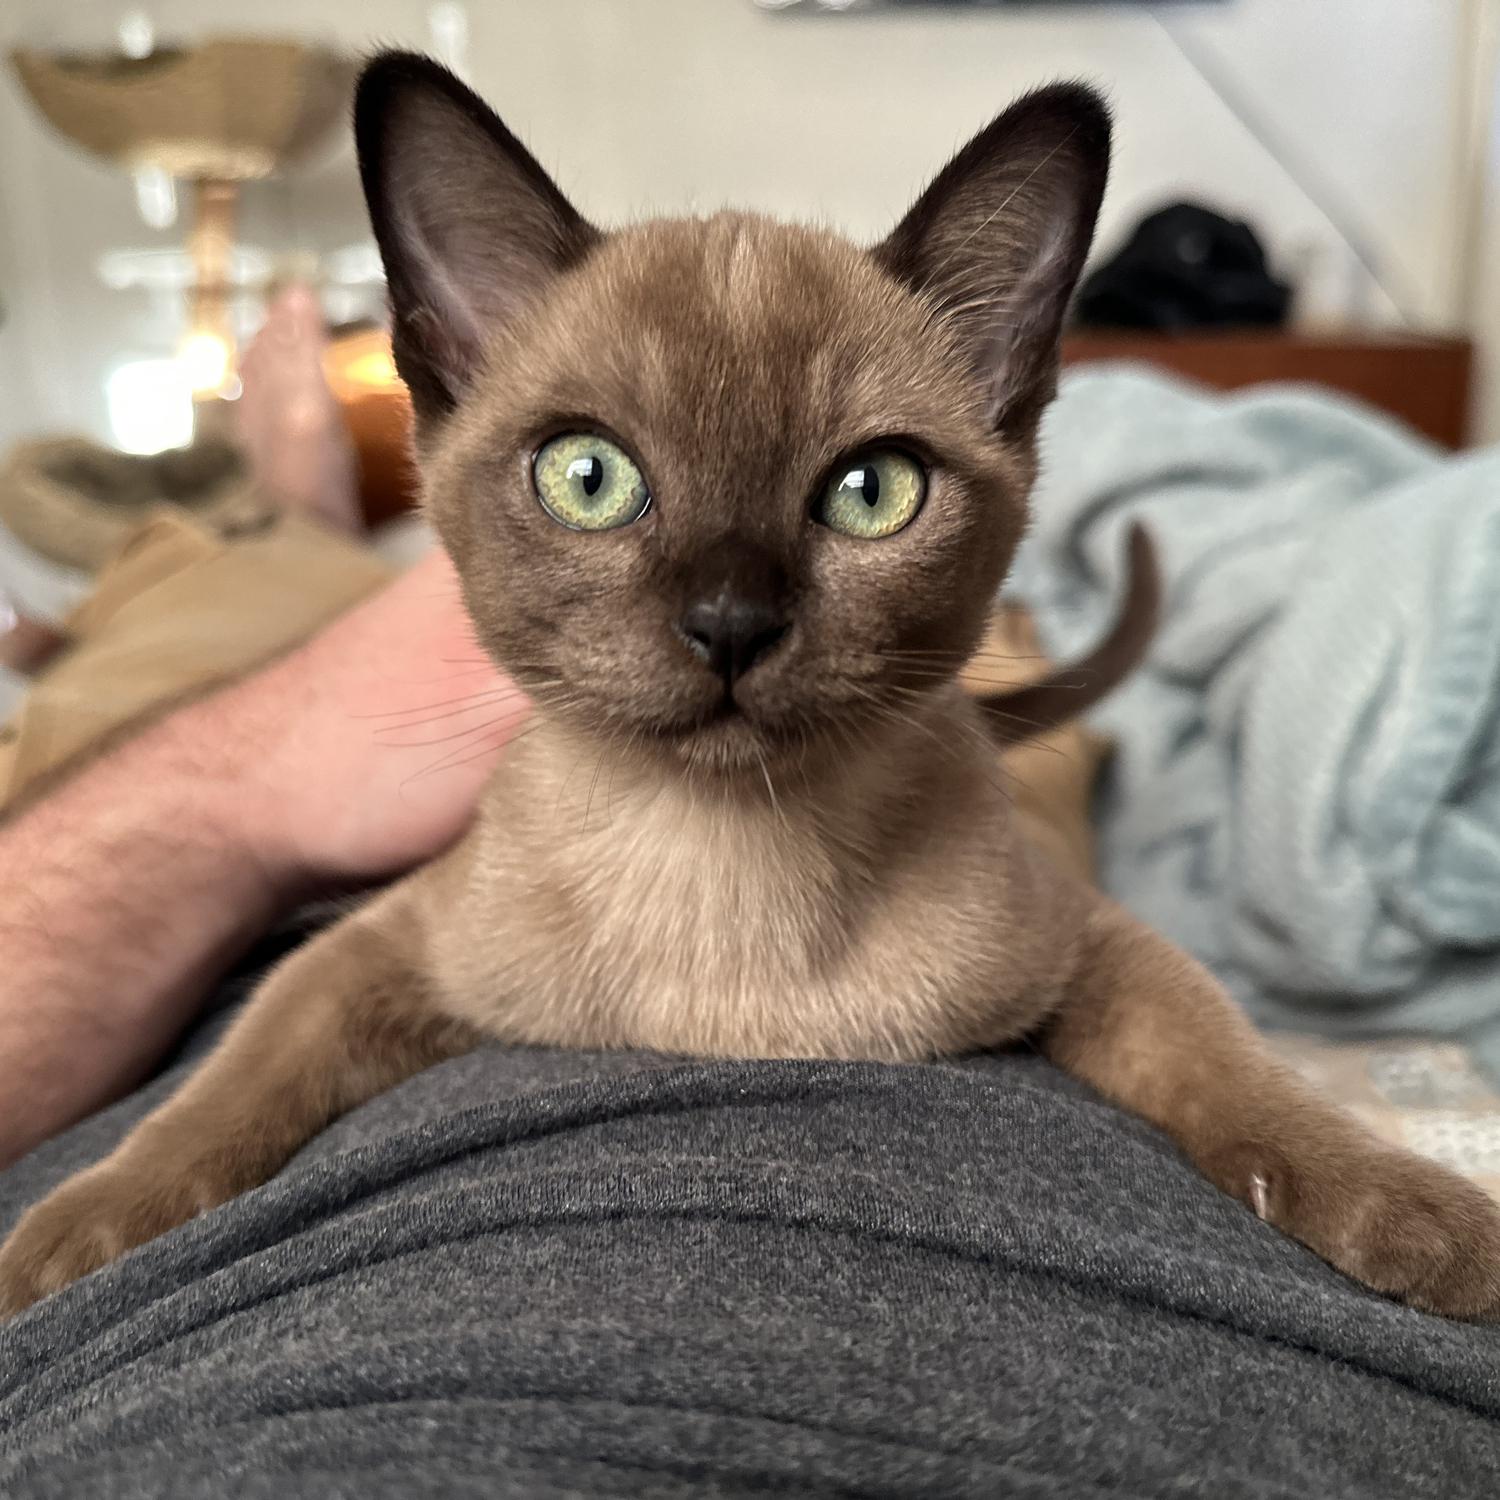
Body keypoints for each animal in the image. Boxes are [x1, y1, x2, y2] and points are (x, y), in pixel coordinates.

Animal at [5, 55, 1494, 1326]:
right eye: (588, 477)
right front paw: (59, 1248)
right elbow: (221, 1089)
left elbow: (1244, 1072)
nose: (730, 625)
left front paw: (1434, 1225)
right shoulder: (377, 946)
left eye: (873, 492)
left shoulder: (1092, 947)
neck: (722, 889)